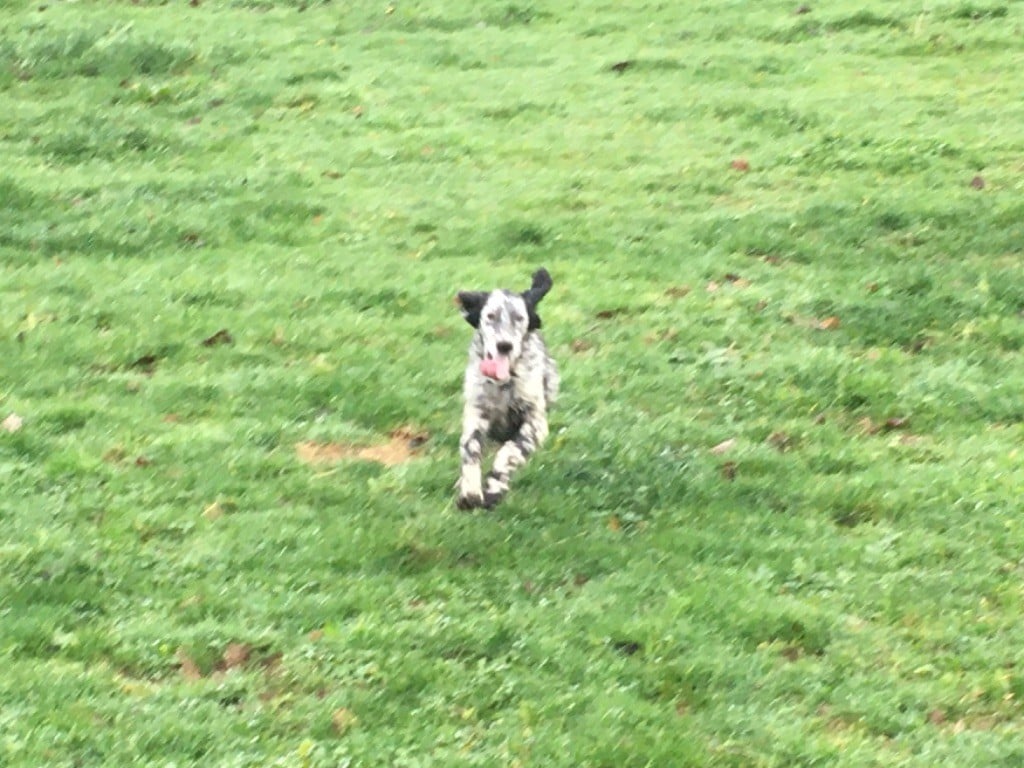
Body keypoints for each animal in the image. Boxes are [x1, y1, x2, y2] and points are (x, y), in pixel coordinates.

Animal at [456, 270, 561, 512]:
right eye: (490, 316)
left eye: (519, 318)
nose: (504, 345)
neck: (504, 384)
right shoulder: (476, 413)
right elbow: (470, 447)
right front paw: (470, 489)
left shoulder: (535, 423)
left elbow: (510, 450)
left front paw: (494, 487)